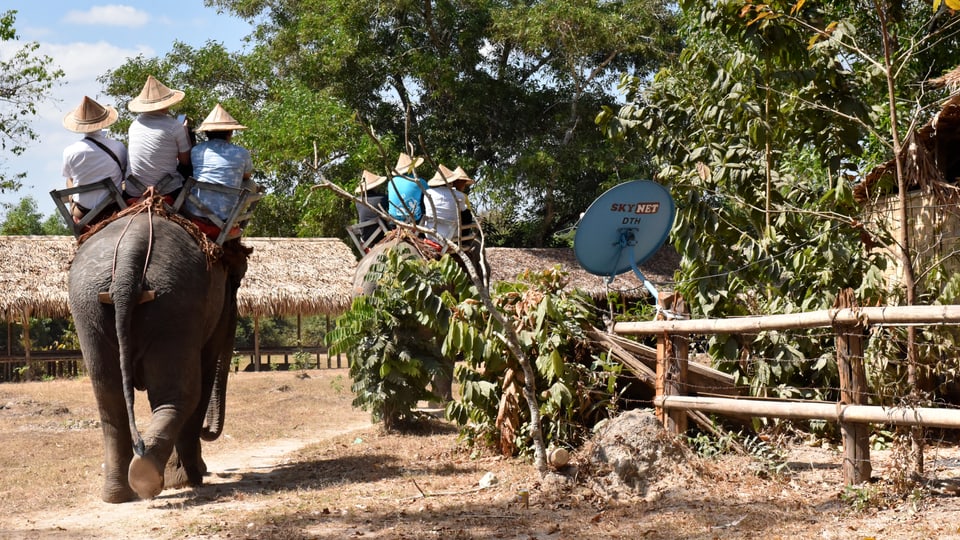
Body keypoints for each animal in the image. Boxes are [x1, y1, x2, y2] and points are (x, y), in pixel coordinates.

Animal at [68, 209, 244, 504]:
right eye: (238, 282)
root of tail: (129, 255)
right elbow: (206, 373)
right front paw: (190, 478)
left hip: (92, 306)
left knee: (110, 397)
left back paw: (123, 490)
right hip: (173, 303)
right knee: (183, 394)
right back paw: (160, 478)